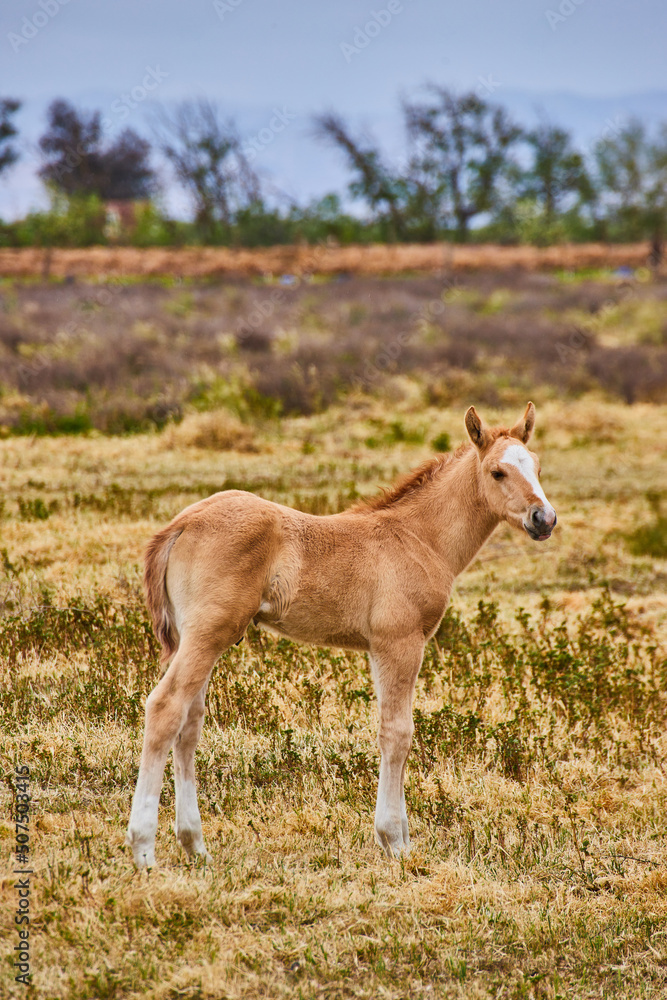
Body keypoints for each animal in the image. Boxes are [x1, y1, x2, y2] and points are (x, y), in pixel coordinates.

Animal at [126, 402, 557, 867]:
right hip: (209, 633)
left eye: (536, 467)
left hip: (199, 636)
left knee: (189, 724)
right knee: (165, 707)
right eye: (497, 472)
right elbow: (397, 732)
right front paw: (395, 840)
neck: (419, 538)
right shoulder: (400, 643)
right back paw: (144, 849)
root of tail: (181, 523)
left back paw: (195, 845)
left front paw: (399, 838)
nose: (544, 519)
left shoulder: (379, 649)